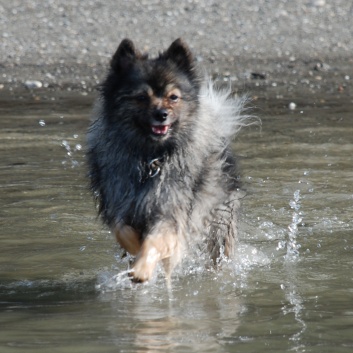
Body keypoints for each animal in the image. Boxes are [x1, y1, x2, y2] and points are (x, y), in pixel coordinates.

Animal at [86, 38, 249, 282]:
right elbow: (123, 231)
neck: (150, 159)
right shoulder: (120, 204)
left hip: (218, 223)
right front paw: (136, 254)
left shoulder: (170, 209)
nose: (161, 114)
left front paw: (142, 268)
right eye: (141, 97)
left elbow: (155, 241)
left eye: (173, 97)